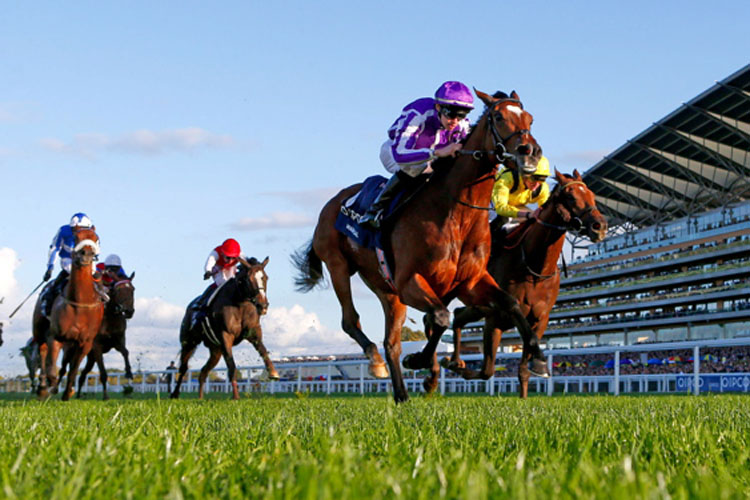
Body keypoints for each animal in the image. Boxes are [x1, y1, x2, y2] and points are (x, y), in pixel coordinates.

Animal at [31, 229, 104, 400]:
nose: (86, 254)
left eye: (95, 238)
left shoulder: (85, 343)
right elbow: (51, 367)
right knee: (42, 352)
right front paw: (51, 385)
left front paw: (67, 392)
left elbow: (73, 370)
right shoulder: (55, 337)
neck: (80, 301)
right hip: (39, 331)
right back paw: (42, 387)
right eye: (76, 237)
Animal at [170, 256, 282, 400]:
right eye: (249, 279)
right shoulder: (225, 336)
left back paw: (200, 397)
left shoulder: (253, 332)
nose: (263, 305)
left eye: (265, 277)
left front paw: (273, 372)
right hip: (189, 342)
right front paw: (235, 396)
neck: (241, 304)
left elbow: (263, 350)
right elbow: (231, 365)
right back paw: (175, 394)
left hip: (215, 350)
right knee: (183, 368)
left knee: (203, 372)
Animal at [294, 89, 548, 402]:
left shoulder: (469, 282)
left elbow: (508, 303)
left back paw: (402, 394)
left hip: (387, 290)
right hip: (339, 265)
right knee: (350, 321)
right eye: (499, 117)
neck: (456, 214)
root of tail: (333, 201)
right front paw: (420, 361)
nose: (531, 152)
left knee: (392, 341)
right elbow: (439, 317)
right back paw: (376, 362)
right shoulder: (410, 281)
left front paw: (537, 356)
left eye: (530, 119)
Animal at [440, 170, 612, 396]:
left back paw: (453, 361)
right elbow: (487, 370)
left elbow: (523, 369)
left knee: (459, 315)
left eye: (591, 194)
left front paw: (534, 375)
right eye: (570, 196)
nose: (600, 226)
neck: (535, 269)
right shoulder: (496, 318)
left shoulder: (539, 319)